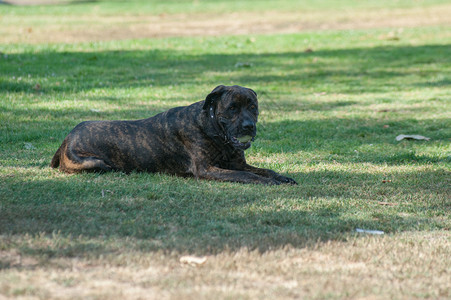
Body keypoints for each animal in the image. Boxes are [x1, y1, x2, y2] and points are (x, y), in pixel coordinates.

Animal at [51, 83, 298, 184]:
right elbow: (248, 176)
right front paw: (268, 182)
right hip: (94, 163)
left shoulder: (238, 163)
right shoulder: (207, 169)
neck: (212, 129)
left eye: (253, 107)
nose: (248, 126)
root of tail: (66, 138)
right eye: (232, 108)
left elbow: (265, 170)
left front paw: (281, 177)